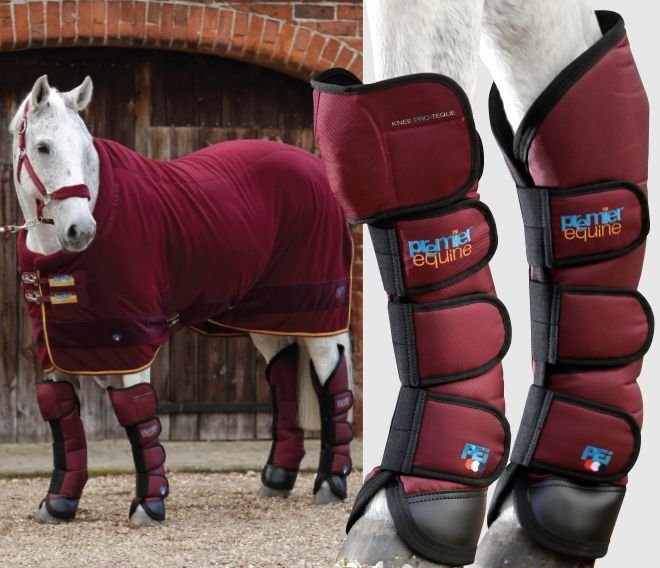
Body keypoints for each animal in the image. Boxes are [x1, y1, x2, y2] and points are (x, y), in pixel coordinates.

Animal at [6, 75, 355, 527]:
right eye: (44, 147)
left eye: (85, 148)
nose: (80, 230)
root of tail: (315, 167)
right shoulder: (58, 349)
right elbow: (63, 418)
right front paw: (58, 503)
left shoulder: (129, 341)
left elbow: (138, 415)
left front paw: (149, 505)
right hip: (272, 316)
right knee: (282, 376)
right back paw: (277, 478)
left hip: (319, 315)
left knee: (333, 382)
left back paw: (332, 483)